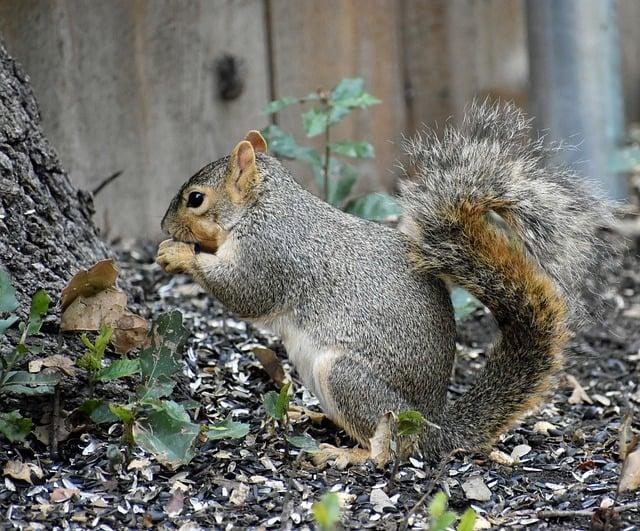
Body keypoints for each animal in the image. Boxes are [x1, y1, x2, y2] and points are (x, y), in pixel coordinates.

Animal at [158, 103, 612, 466]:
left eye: (195, 199)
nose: (163, 226)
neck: (263, 206)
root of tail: (434, 427)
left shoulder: (270, 253)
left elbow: (244, 292)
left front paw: (179, 254)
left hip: (349, 379)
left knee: (388, 449)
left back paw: (348, 454)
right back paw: (312, 416)